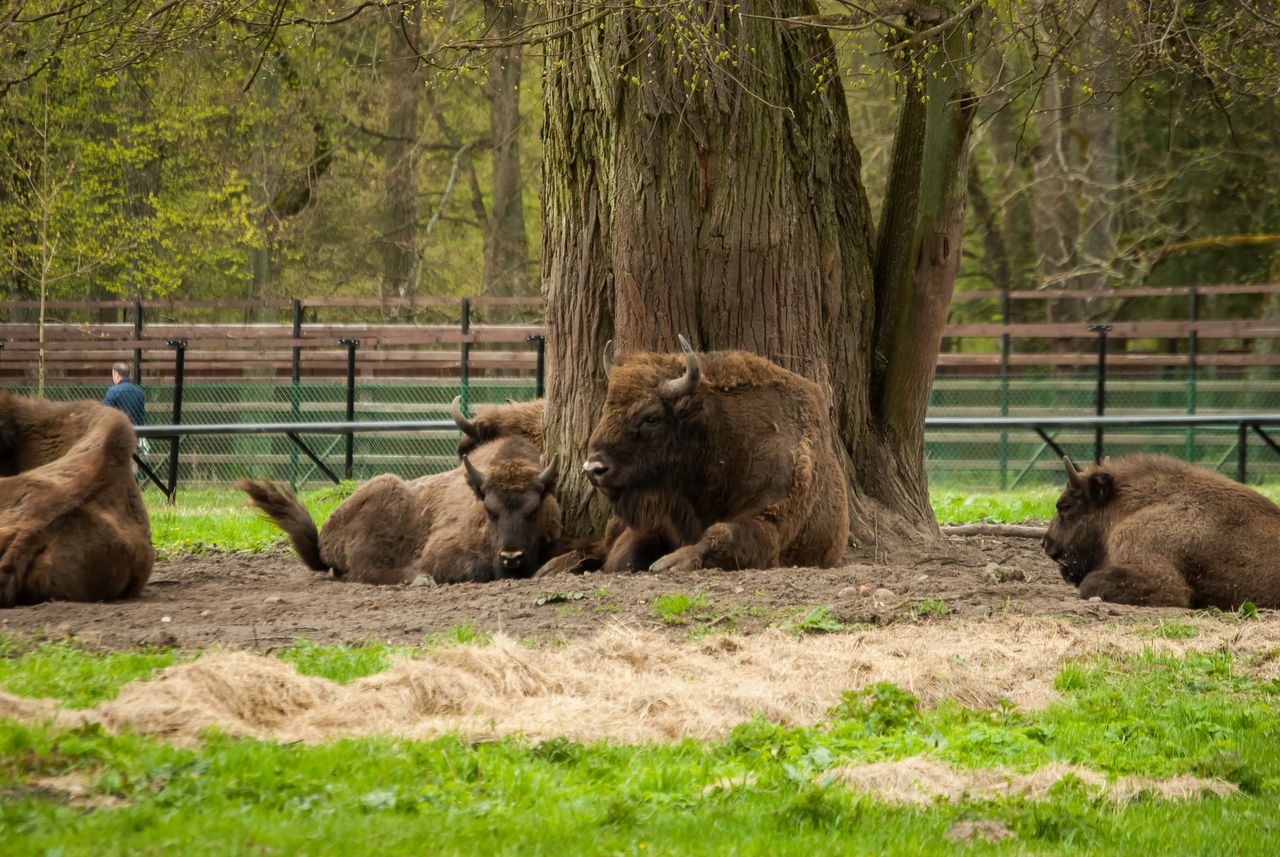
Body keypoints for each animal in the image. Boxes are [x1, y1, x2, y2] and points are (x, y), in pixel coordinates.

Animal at [240, 404, 560, 583]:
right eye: (489, 511)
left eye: (534, 511)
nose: (511, 556)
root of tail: (325, 537)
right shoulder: (443, 549)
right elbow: (472, 567)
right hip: (382, 500)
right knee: (363, 571)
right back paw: (419, 578)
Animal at [583, 340, 849, 573]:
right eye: (606, 409)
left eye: (652, 417)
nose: (593, 469)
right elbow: (623, 556)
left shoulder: (770, 518)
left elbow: (722, 533)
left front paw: (670, 562)